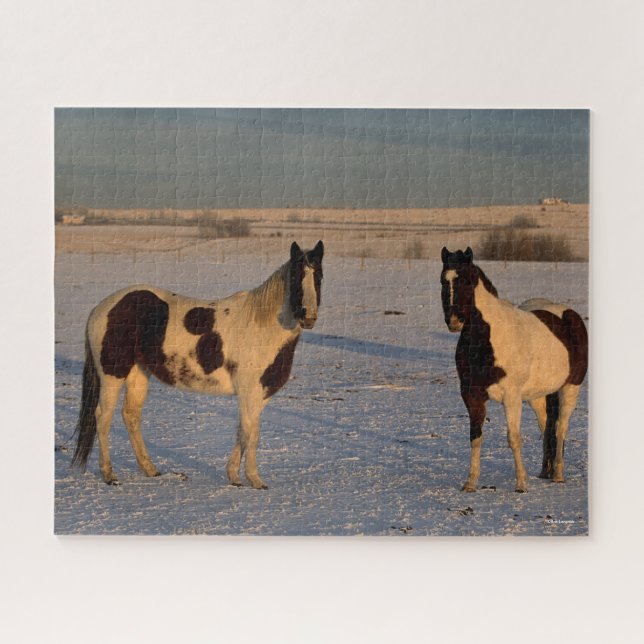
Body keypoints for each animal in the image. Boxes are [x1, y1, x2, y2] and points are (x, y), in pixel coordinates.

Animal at [71, 240, 324, 489]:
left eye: (319, 276)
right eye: (296, 277)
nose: (308, 317)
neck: (261, 326)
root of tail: (102, 308)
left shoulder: (259, 394)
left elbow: (244, 432)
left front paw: (234, 476)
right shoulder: (249, 391)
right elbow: (251, 434)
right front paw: (255, 480)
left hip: (138, 373)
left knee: (131, 415)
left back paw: (150, 469)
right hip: (112, 374)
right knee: (103, 417)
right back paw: (109, 475)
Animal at [440, 247, 588, 493]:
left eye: (467, 281)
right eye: (443, 280)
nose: (454, 321)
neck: (489, 339)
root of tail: (568, 314)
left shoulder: (511, 397)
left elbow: (514, 438)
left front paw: (520, 484)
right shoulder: (472, 395)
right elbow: (475, 437)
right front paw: (470, 483)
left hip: (570, 388)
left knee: (561, 428)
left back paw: (557, 474)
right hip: (537, 396)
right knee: (546, 426)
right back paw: (545, 471)